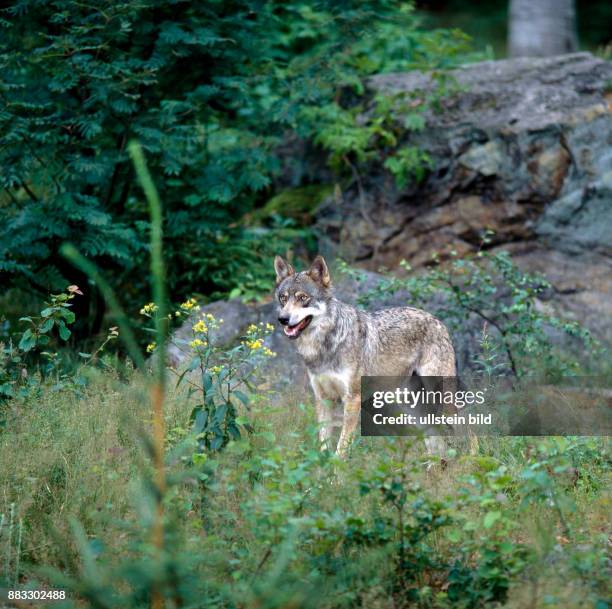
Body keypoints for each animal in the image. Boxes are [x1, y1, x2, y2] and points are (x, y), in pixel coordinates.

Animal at [274, 253, 456, 456]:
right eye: (283, 298)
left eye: (303, 297)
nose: (283, 319)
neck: (326, 346)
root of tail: (437, 320)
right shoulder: (323, 399)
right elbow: (323, 445)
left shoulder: (352, 399)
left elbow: (341, 449)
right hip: (411, 405)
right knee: (434, 440)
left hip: (440, 398)